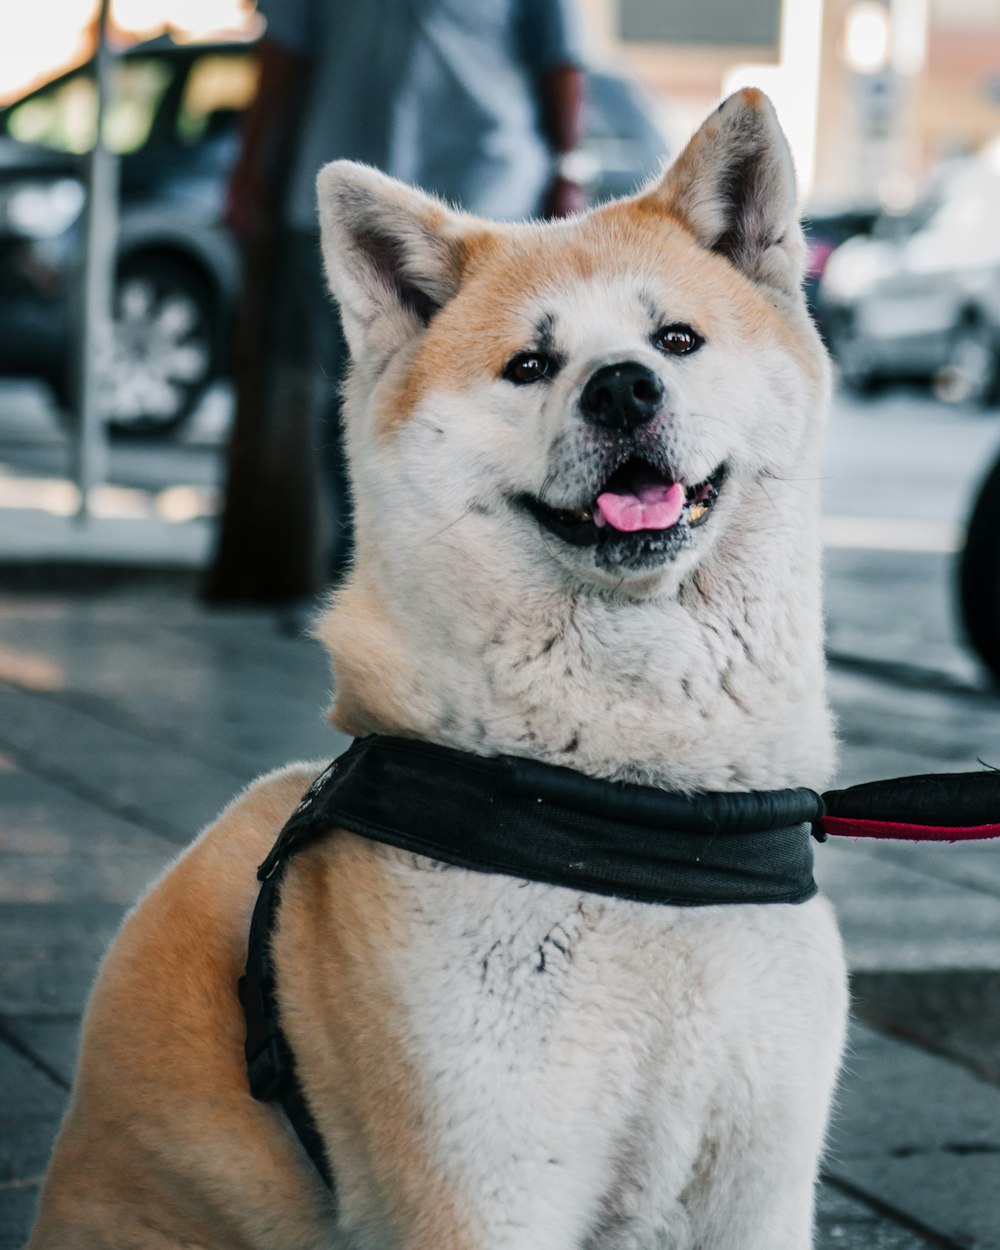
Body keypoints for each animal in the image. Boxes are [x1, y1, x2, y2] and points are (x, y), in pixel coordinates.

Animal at [27, 90, 850, 1250]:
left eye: (677, 340)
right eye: (529, 365)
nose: (625, 388)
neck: (638, 822)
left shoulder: (756, 1192)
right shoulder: (480, 1189)